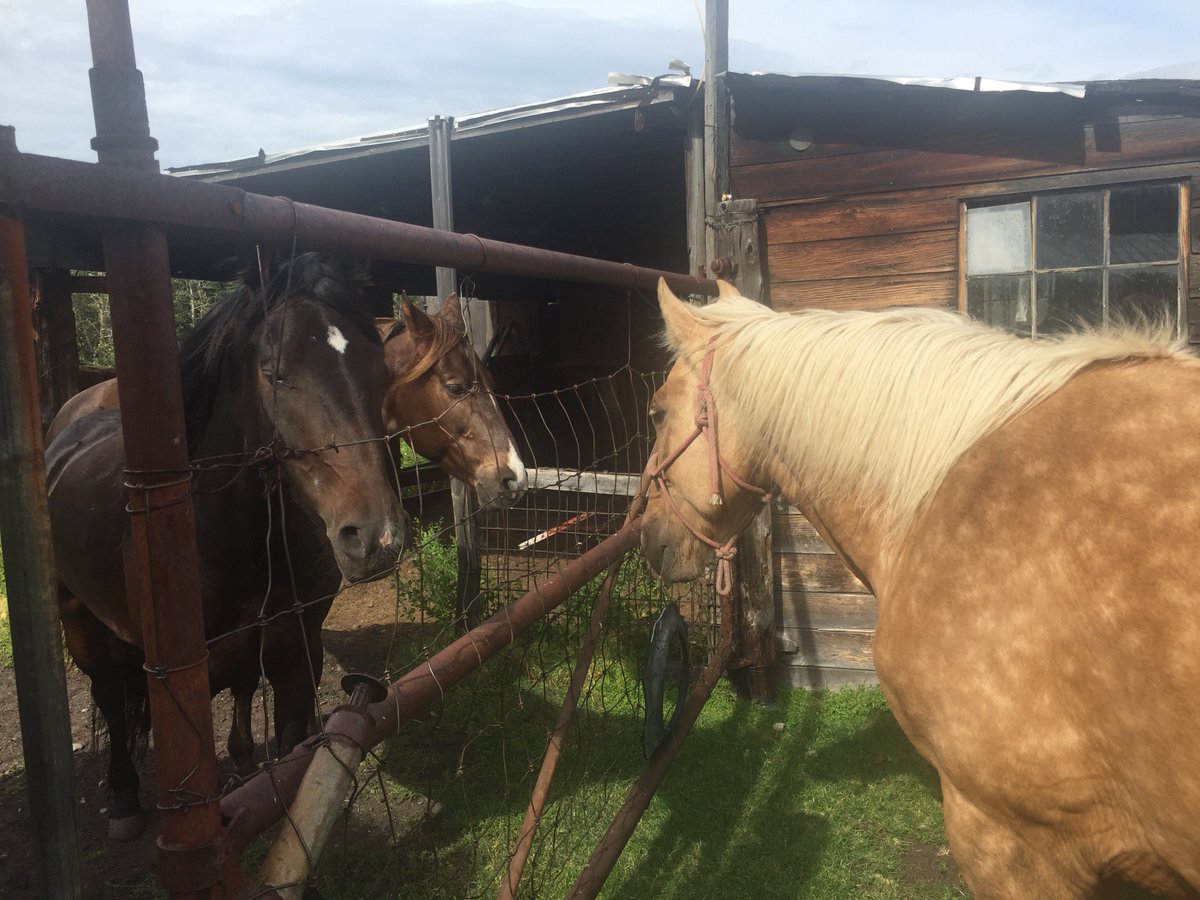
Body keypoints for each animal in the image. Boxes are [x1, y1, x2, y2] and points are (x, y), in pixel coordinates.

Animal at [45, 253, 407, 840]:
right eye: (274, 374)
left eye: (379, 369)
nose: (378, 538)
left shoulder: (295, 650)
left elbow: (289, 751)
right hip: (77, 620)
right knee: (109, 697)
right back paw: (122, 797)